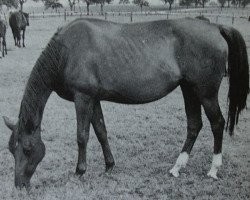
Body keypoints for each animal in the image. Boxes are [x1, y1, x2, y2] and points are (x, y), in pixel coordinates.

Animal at [2, 18, 249, 188]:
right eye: (11, 149)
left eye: (27, 148)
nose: (19, 185)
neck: (65, 51)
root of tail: (215, 27)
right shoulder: (94, 99)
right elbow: (101, 131)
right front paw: (109, 165)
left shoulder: (83, 98)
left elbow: (82, 136)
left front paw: (80, 171)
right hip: (189, 90)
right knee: (194, 125)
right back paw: (176, 168)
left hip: (206, 93)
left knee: (217, 123)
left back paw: (213, 169)